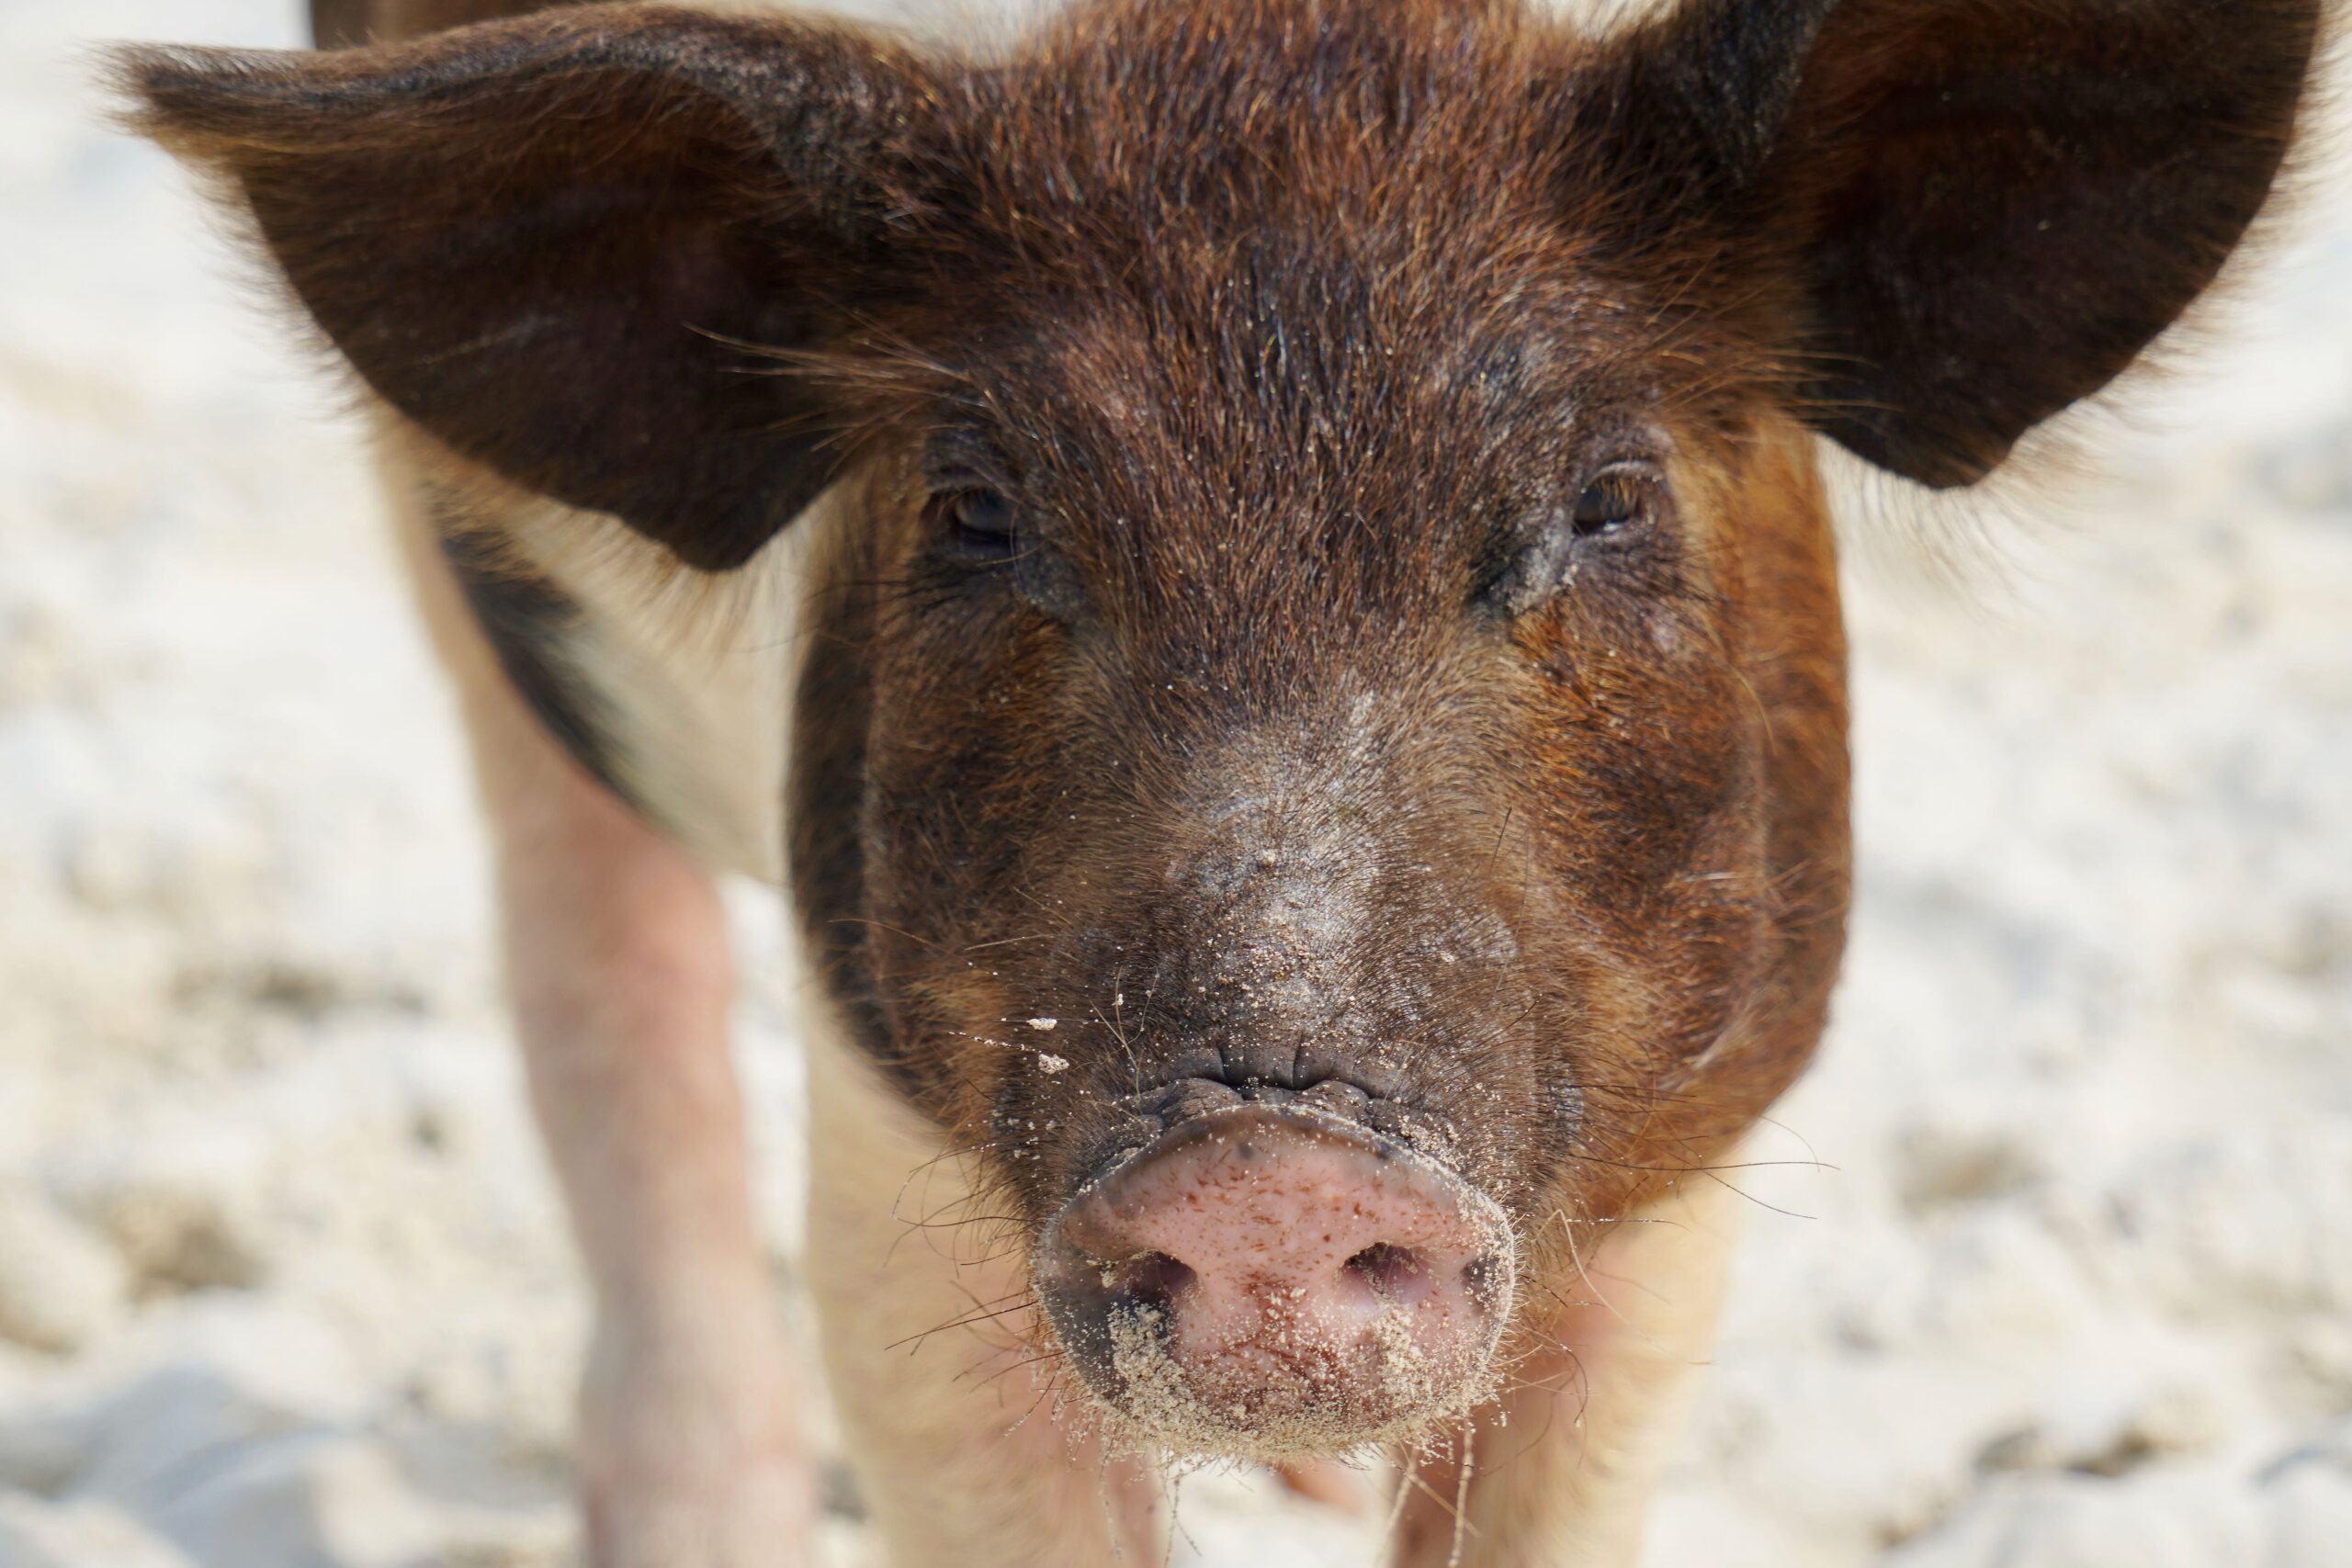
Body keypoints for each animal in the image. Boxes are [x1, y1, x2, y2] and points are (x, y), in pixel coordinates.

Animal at [113, 0, 2322, 1562]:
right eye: (981, 513)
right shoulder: (894, 1152)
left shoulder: (1681, 1160)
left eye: (1604, 501)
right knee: (596, 974)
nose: (1268, 1158)